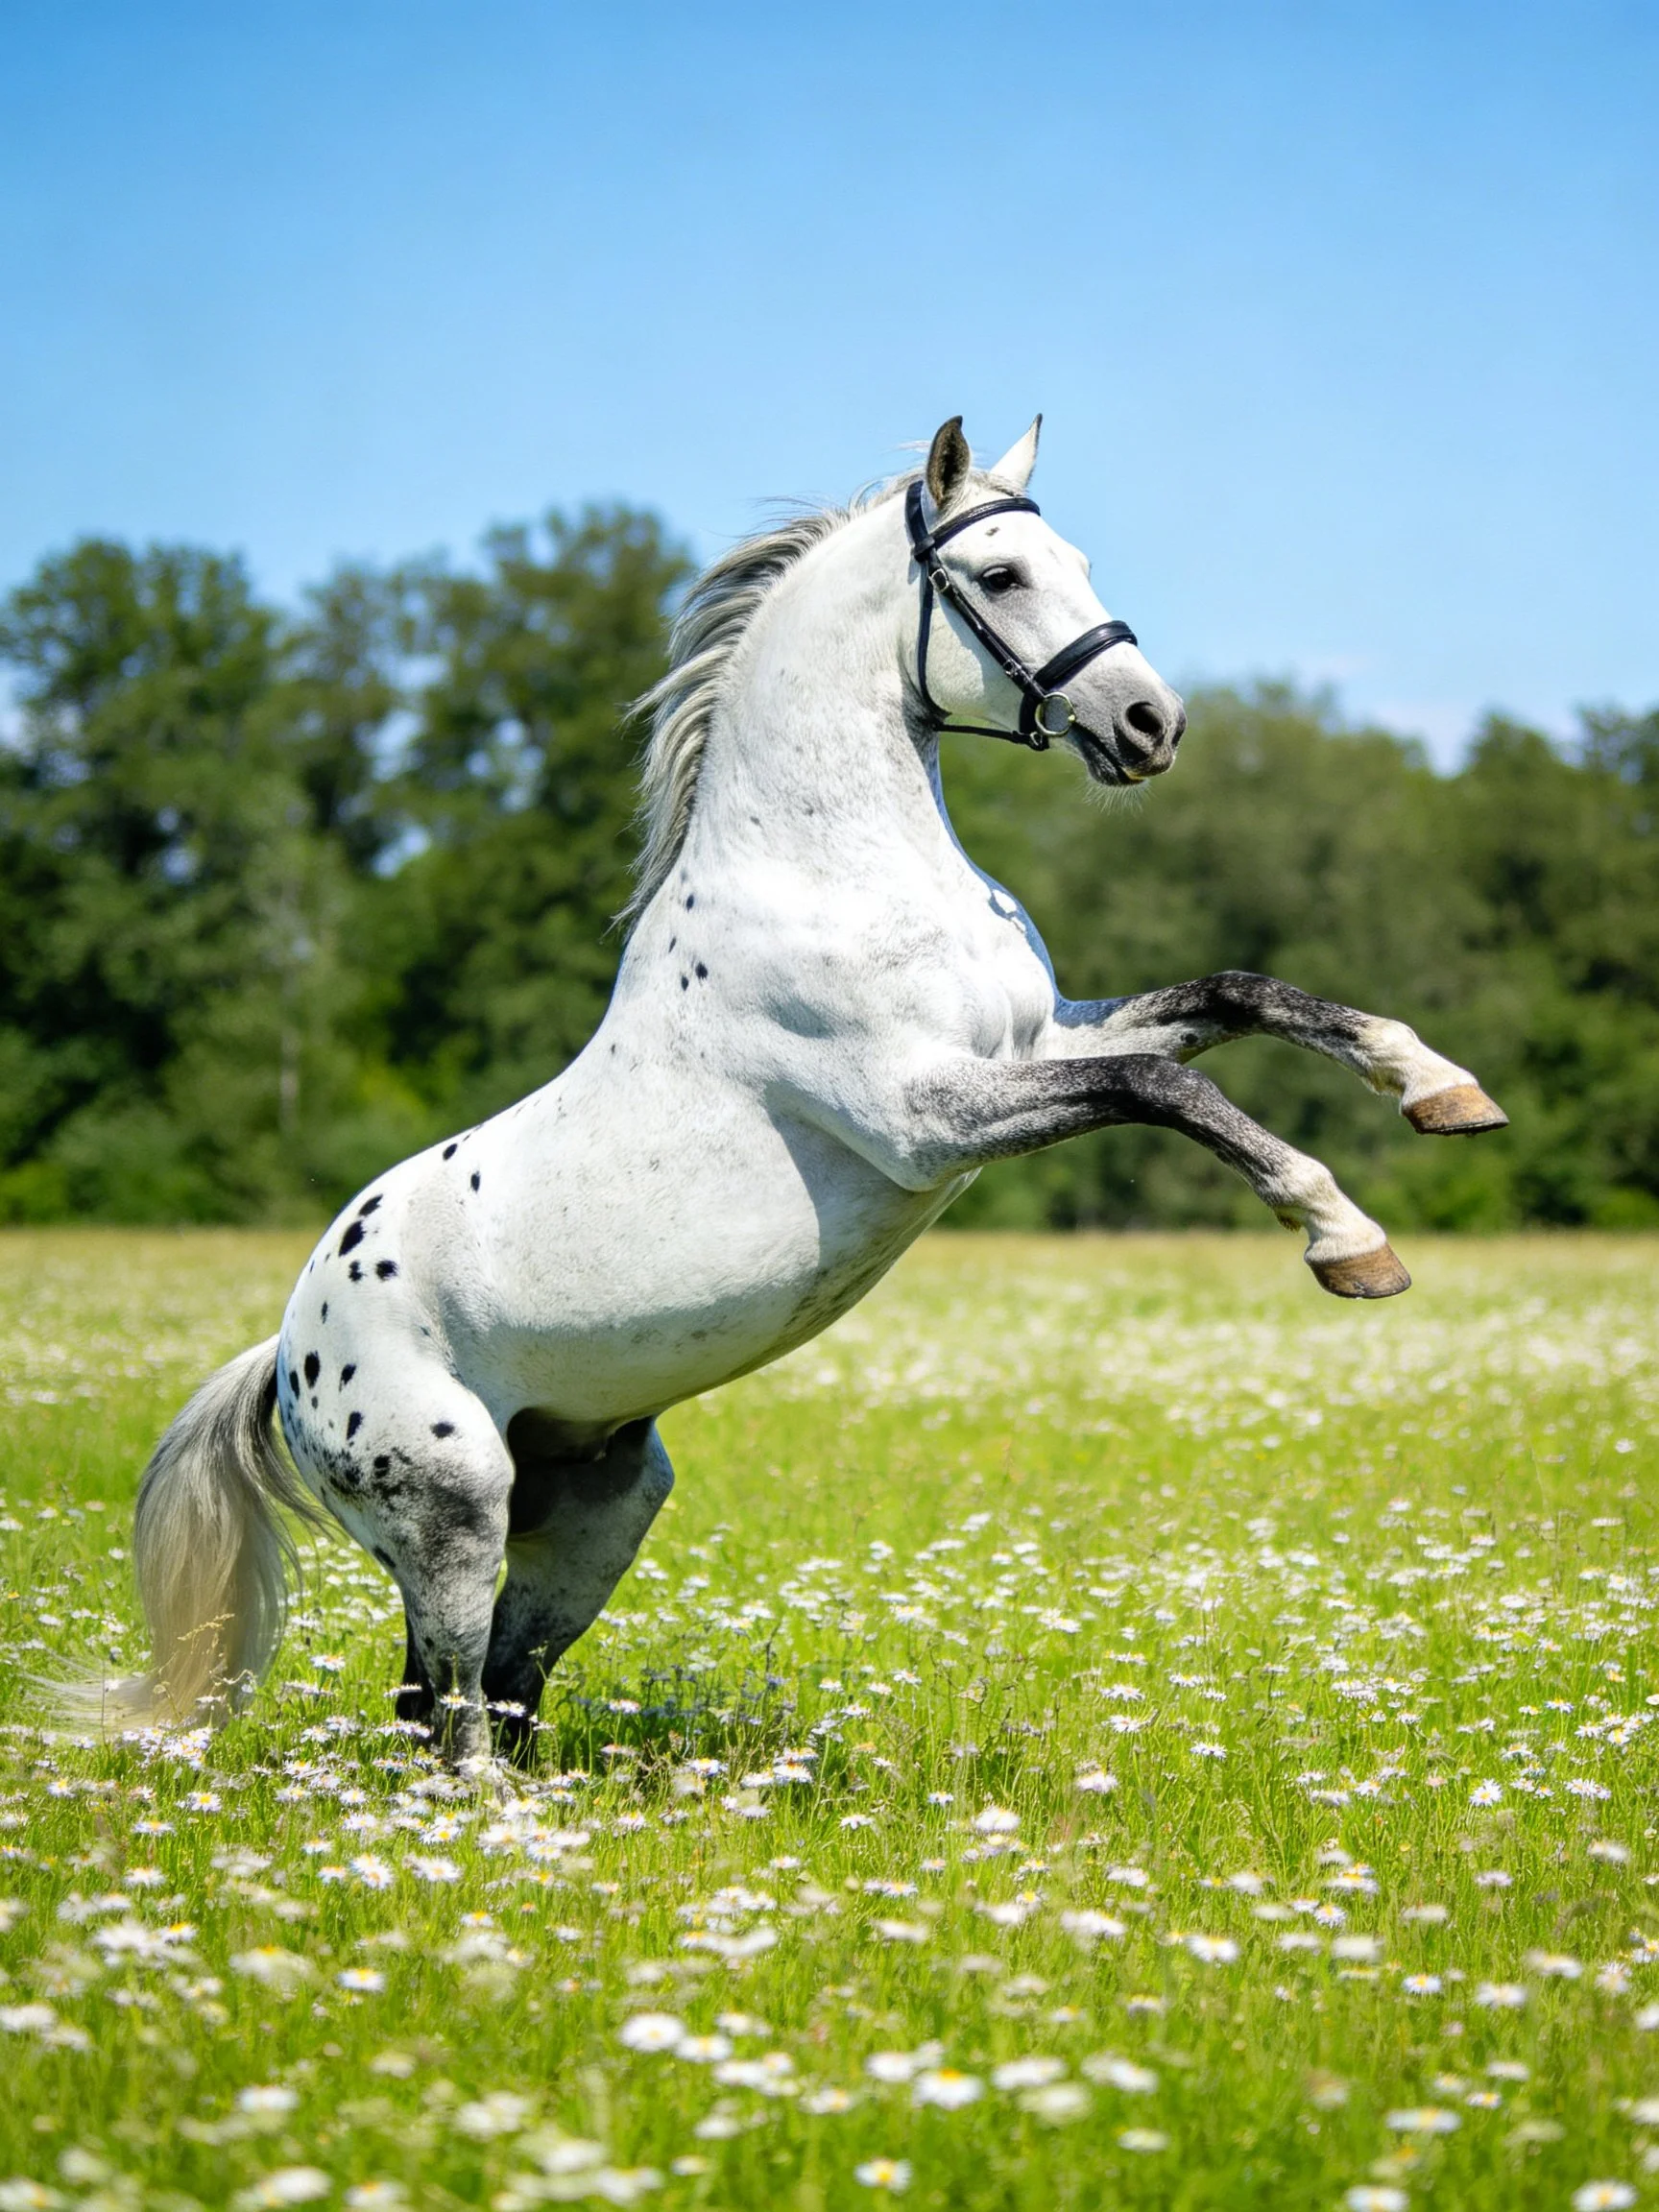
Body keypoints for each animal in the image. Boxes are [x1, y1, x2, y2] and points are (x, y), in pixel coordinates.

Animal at [93, 416, 1506, 1771]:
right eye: (1003, 575)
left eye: (1080, 562)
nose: (1152, 727)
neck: (840, 865)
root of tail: (286, 1348)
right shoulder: (931, 1120)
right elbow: (1161, 1083)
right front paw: (1346, 1238)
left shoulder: (1032, 1043)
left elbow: (1239, 995)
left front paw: (1440, 1088)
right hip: (452, 1512)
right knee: (450, 1714)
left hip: (597, 1510)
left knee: (482, 1693)